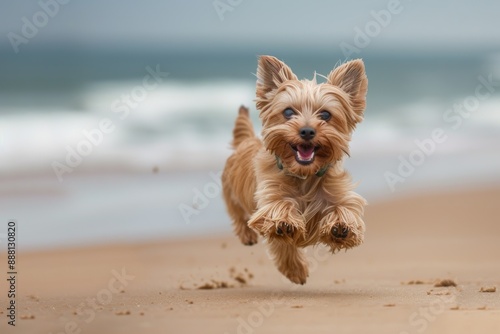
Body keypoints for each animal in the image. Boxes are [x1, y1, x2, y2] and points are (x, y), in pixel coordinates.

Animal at [223, 55, 368, 284]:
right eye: (288, 112)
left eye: (325, 114)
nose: (307, 131)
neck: (304, 175)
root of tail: (247, 140)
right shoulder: (268, 200)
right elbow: (279, 218)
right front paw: (285, 226)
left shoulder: (339, 195)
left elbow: (345, 209)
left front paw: (341, 227)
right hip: (230, 190)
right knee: (236, 211)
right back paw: (247, 235)